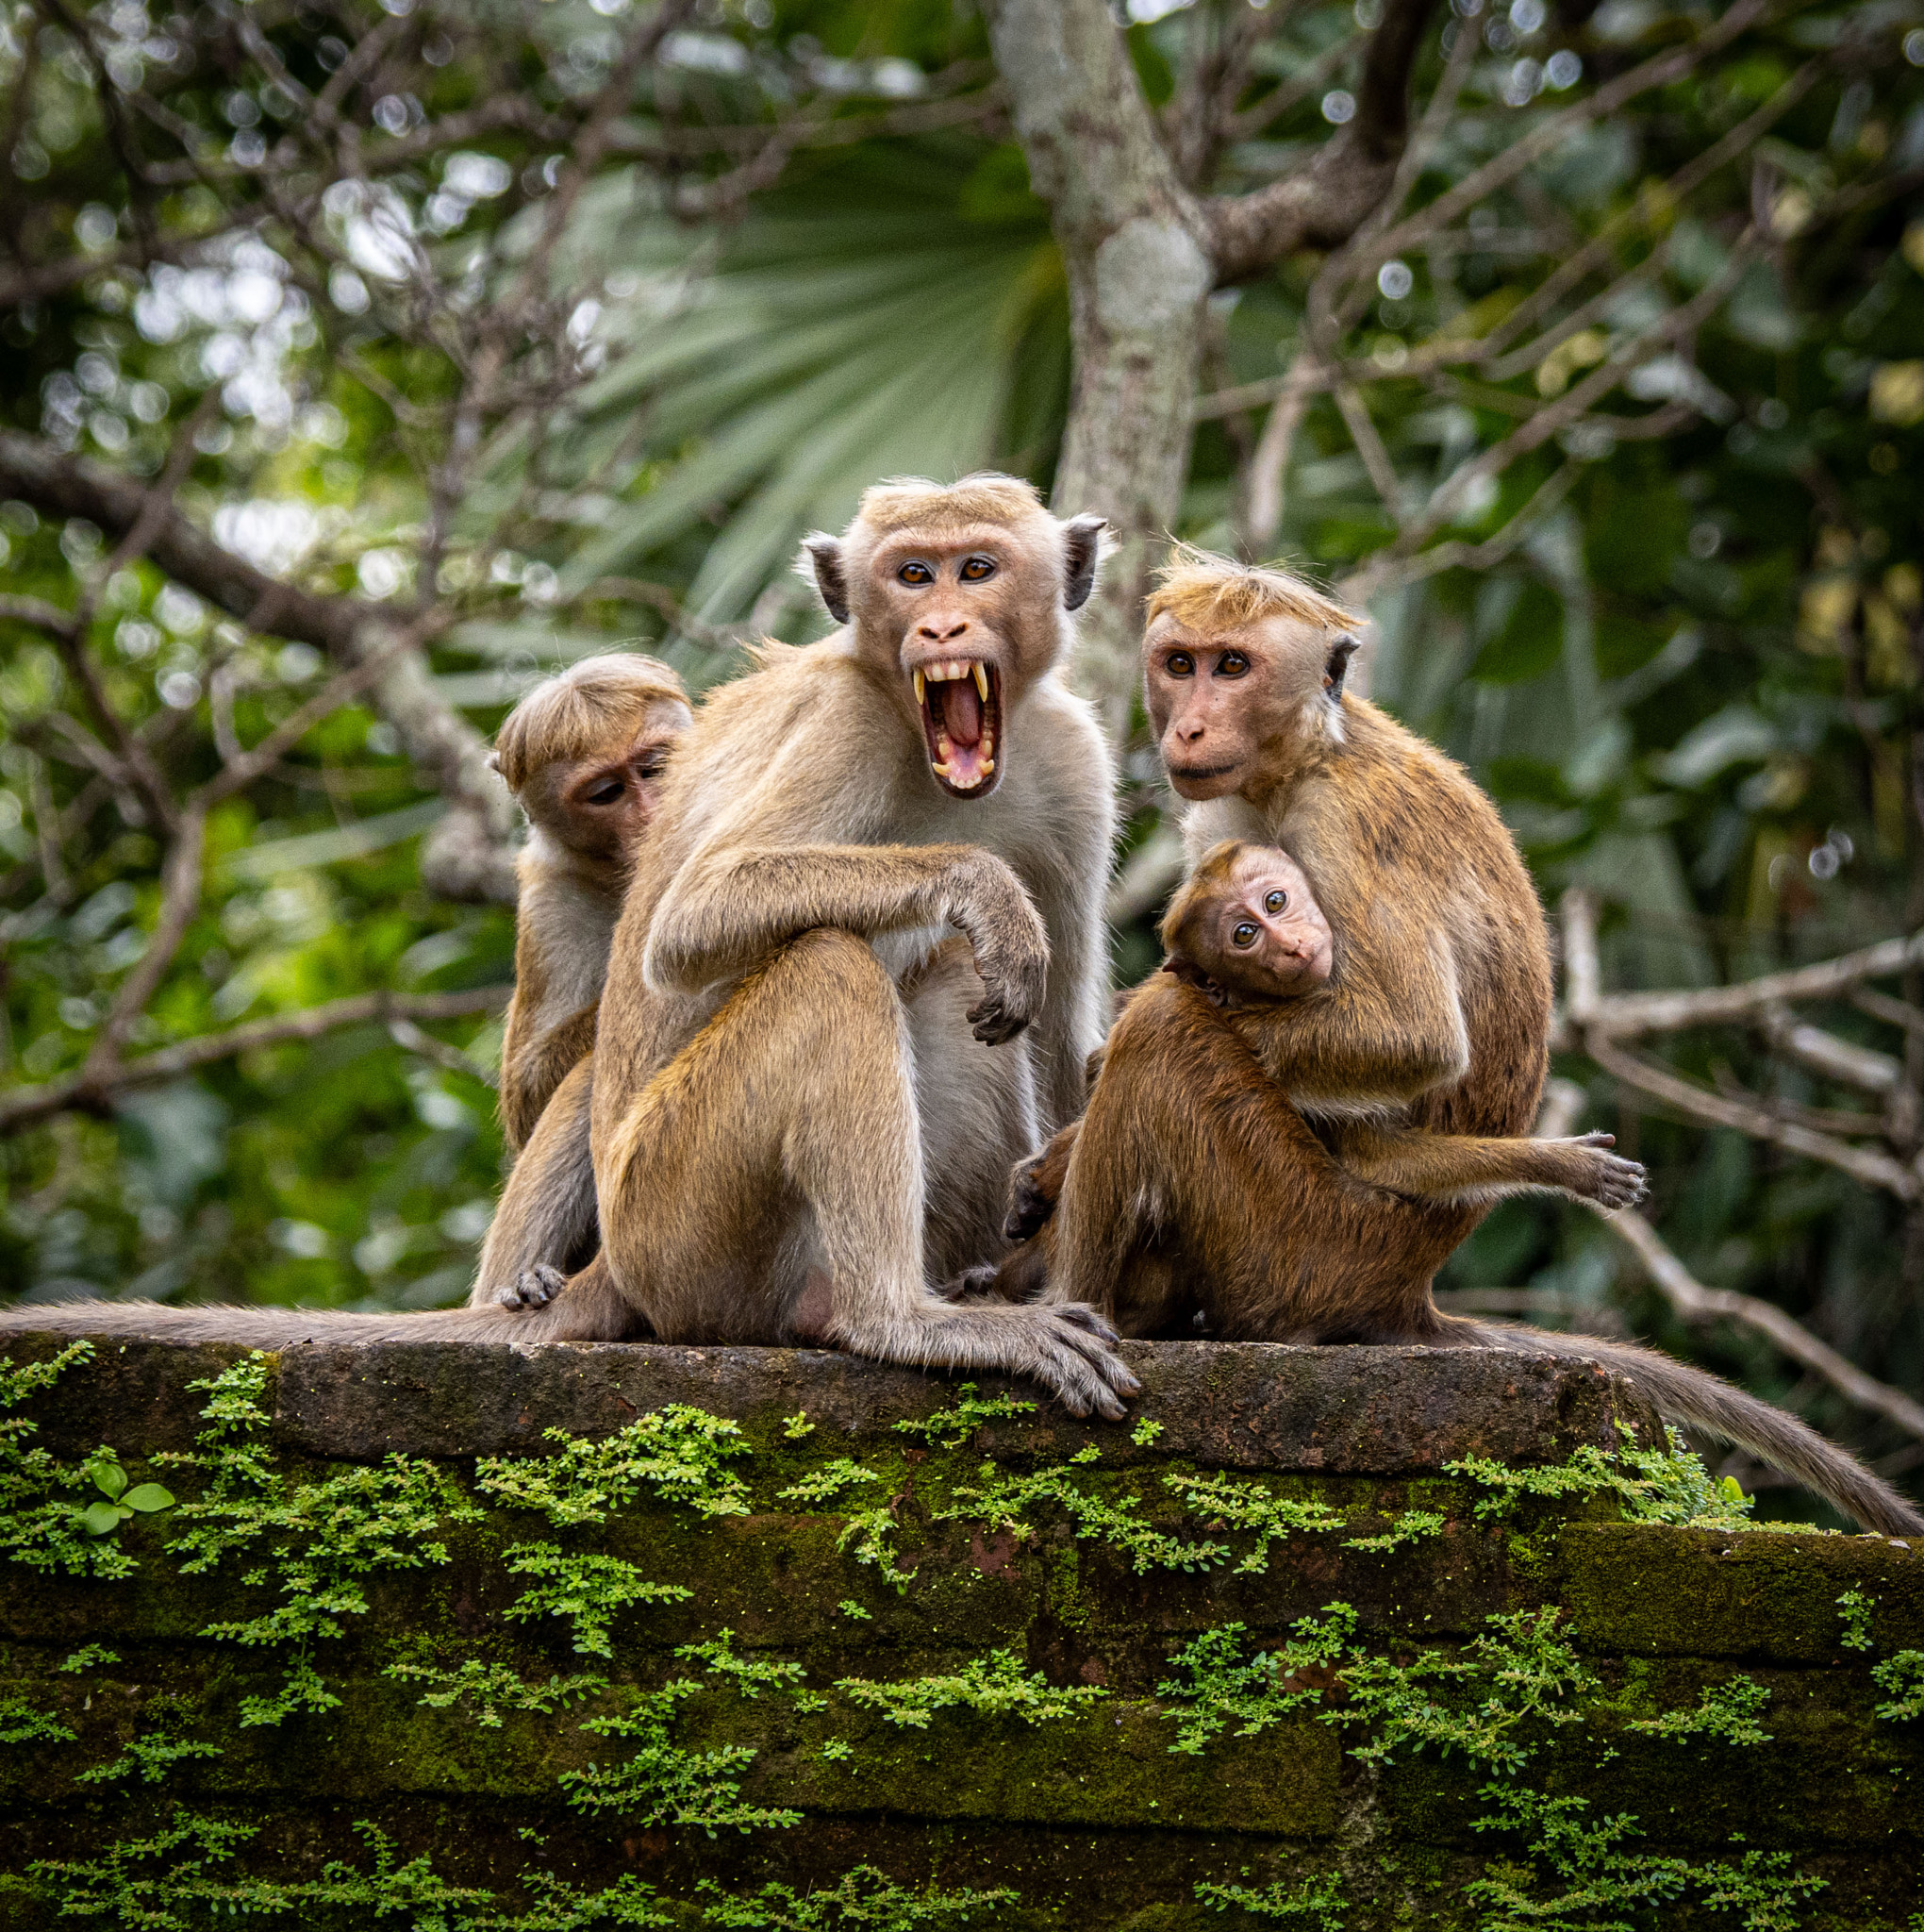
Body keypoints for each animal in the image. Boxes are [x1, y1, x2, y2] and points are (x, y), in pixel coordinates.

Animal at [0, 471, 1143, 1422]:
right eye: (912, 574)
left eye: (975, 567)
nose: (941, 621)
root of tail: (620, 1271)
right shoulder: (846, 724)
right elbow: (692, 918)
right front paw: (981, 888)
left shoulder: (1072, 760)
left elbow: (1056, 1016)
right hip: (678, 1221)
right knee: (828, 968)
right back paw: (892, 1317)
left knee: (949, 981)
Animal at [996, 552, 1916, 1530]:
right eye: (1182, 664)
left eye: (1233, 666)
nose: (1191, 724)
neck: (1310, 756)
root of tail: (1407, 1290)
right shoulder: (1222, 824)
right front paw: (1047, 1166)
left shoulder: (1340, 829)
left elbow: (1414, 1038)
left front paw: (1106, 1076)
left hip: (1302, 1240)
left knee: (1172, 1038)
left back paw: (1077, 1309)